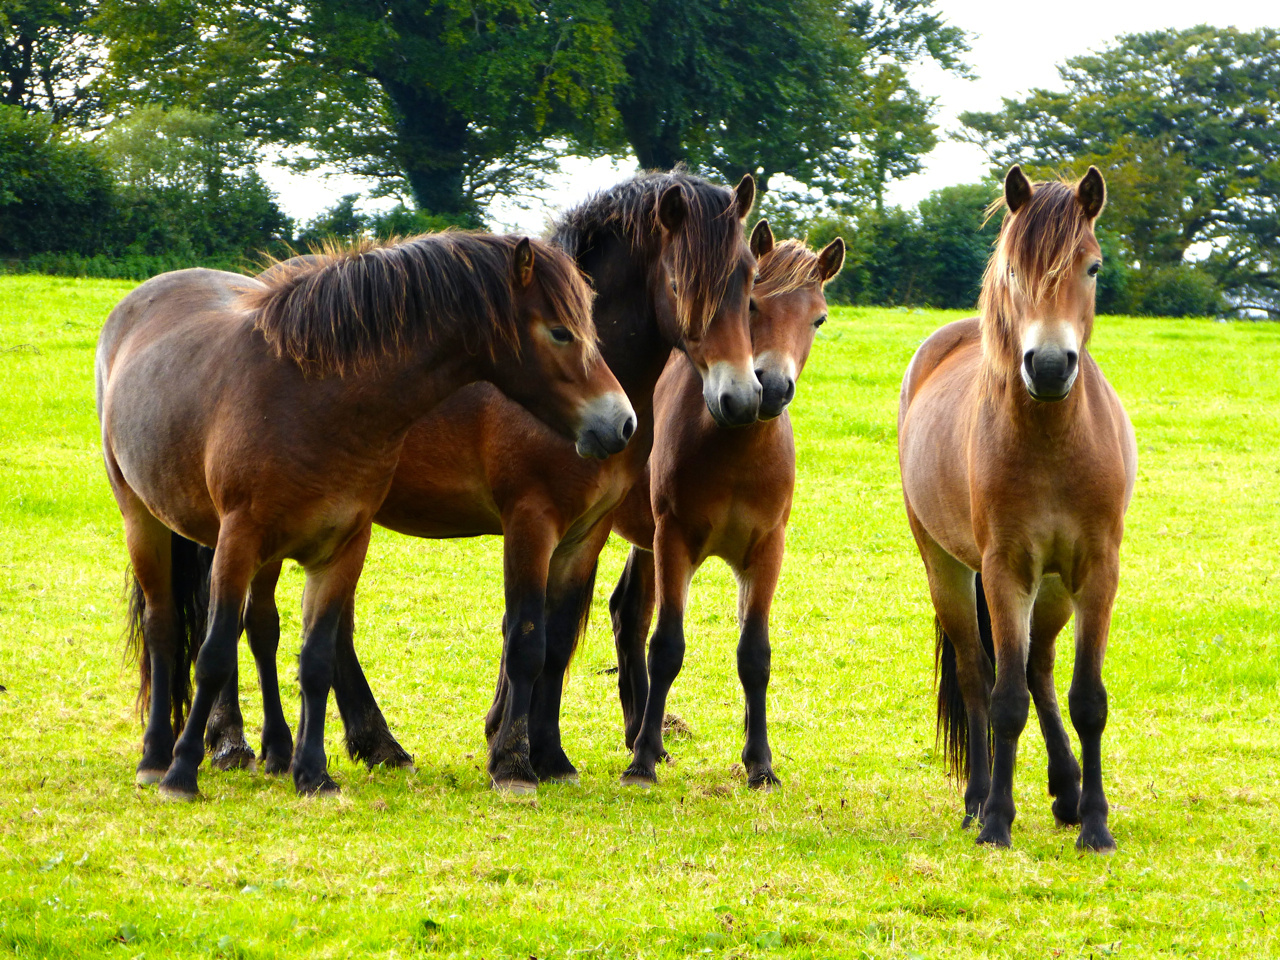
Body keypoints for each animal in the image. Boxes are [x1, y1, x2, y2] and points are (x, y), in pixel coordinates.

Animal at [101, 231, 634, 798]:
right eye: (560, 331)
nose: (622, 422)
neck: (312, 398)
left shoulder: (344, 545)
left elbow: (314, 658)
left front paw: (314, 775)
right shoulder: (238, 538)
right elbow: (215, 652)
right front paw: (182, 774)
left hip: (266, 553)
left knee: (261, 628)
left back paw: (278, 752)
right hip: (147, 522)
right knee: (164, 627)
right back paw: (160, 756)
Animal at [198, 168, 757, 793]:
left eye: (748, 277)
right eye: (683, 282)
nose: (739, 397)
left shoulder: (586, 532)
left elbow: (556, 643)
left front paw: (551, 756)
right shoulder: (530, 522)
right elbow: (527, 640)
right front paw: (512, 761)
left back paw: (374, 744)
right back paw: (235, 744)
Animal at [611, 224, 849, 788]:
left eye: (819, 318)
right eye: (753, 305)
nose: (772, 387)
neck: (734, 443)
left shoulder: (766, 550)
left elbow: (754, 653)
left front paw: (760, 763)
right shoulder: (673, 539)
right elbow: (667, 646)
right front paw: (643, 762)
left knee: (627, 615)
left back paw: (639, 732)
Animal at [896, 168, 1136, 855]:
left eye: (1092, 266)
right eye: (1012, 270)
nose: (1050, 365)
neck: (1052, 441)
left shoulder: (1096, 571)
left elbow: (1087, 700)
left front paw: (1096, 823)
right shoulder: (1004, 570)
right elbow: (1003, 701)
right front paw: (997, 821)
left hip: (1053, 588)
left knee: (1039, 667)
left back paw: (1066, 789)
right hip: (949, 570)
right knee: (980, 675)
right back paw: (978, 798)